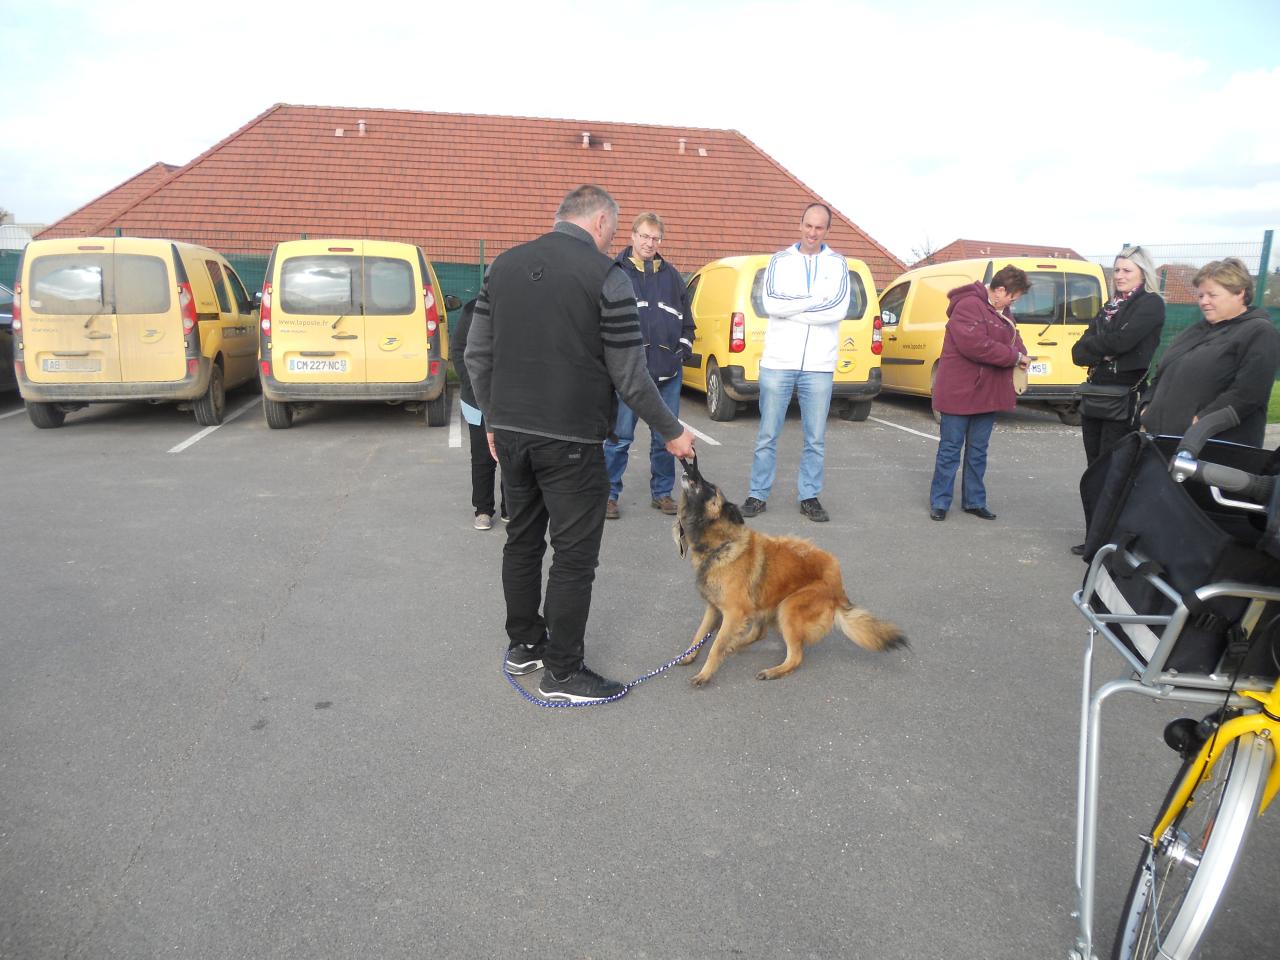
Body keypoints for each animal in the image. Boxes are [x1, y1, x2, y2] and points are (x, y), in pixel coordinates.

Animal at [675, 455, 906, 686]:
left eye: (710, 487)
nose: (690, 465)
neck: (721, 543)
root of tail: (839, 586)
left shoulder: (733, 612)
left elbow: (716, 646)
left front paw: (705, 673)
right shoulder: (714, 608)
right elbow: (699, 634)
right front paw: (689, 655)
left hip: (788, 607)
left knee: (795, 656)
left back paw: (773, 671)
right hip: (765, 600)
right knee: (760, 633)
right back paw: (738, 646)